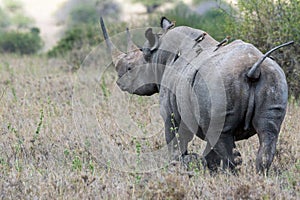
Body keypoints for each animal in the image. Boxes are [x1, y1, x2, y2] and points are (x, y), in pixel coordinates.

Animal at [99, 16, 292, 173]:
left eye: (129, 68)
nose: (119, 82)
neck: (156, 55)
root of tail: (253, 70)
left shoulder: (171, 113)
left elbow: (175, 141)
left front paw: (179, 166)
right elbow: (210, 151)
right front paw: (208, 168)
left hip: (219, 84)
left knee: (222, 137)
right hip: (274, 79)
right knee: (268, 133)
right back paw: (258, 175)